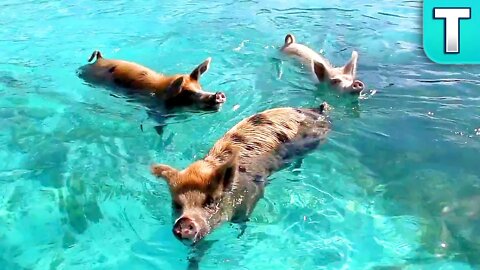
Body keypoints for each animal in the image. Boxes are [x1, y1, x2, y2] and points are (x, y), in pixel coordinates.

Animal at [150, 102, 330, 244]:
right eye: (176, 204)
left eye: (211, 202)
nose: (184, 222)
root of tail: (316, 110)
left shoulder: (254, 195)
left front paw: (240, 233)